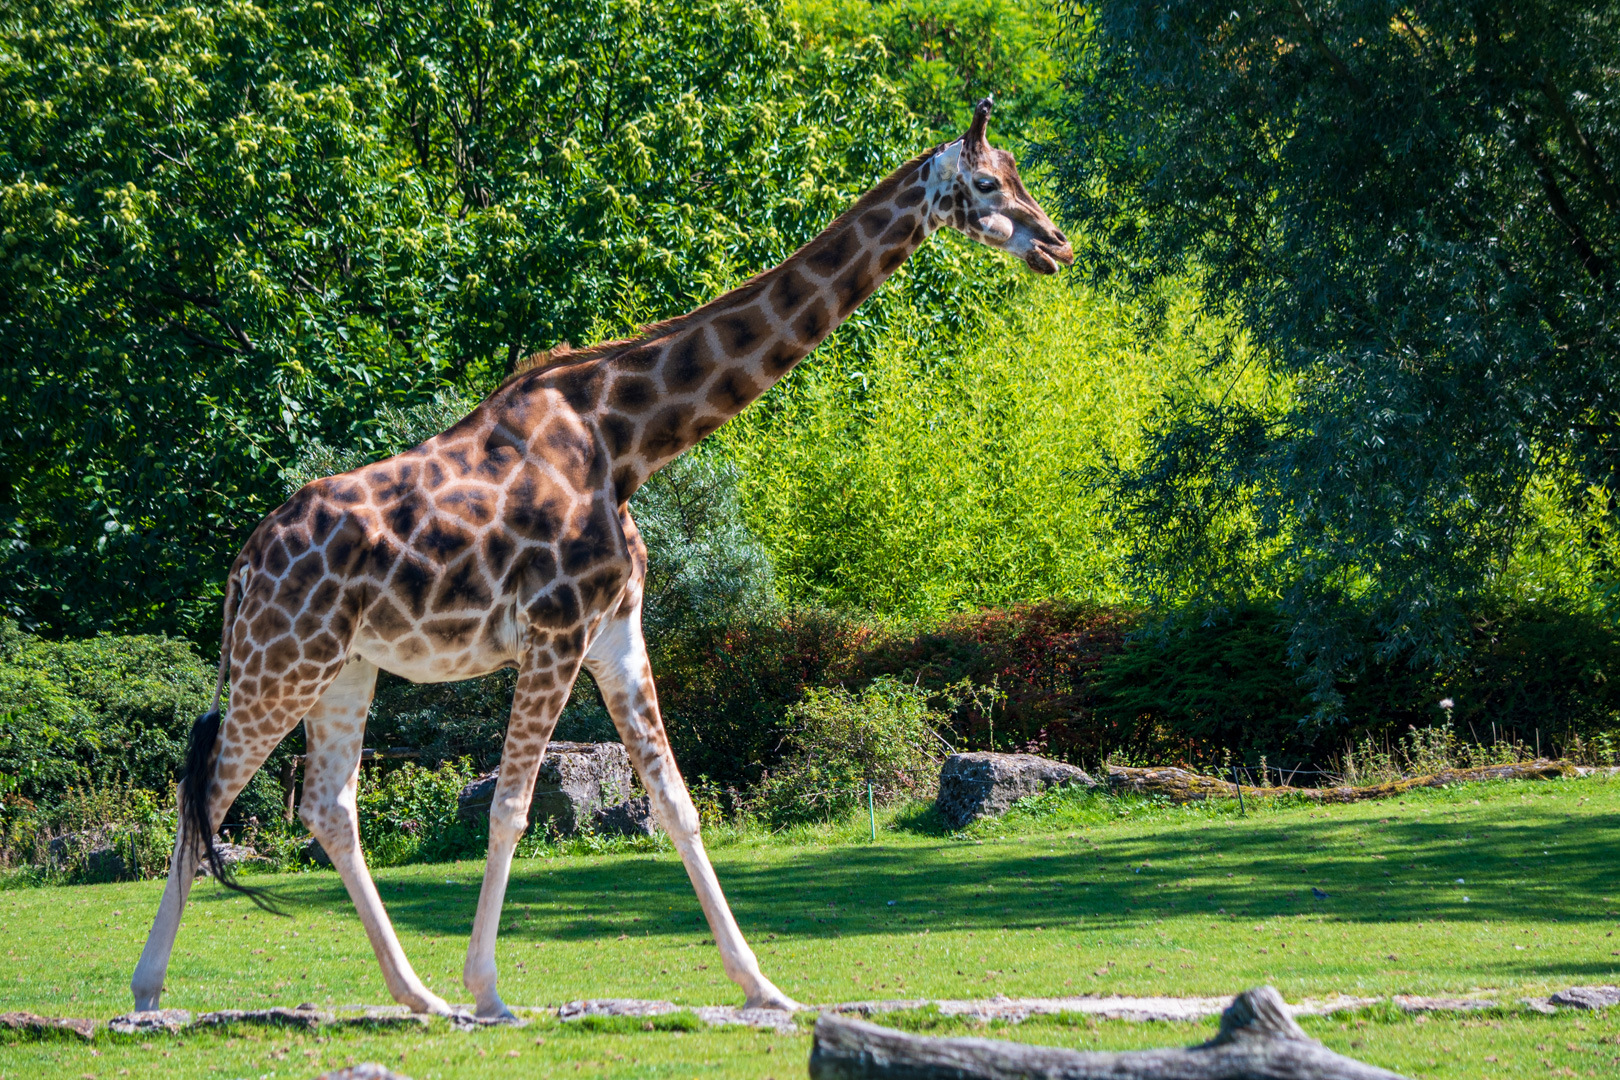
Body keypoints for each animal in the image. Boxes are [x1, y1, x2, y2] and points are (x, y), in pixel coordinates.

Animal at [132, 97, 1069, 1016]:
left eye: (1018, 172)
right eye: (989, 182)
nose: (1057, 243)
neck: (628, 440)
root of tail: (243, 565)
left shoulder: (617, 631)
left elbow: (675, 803)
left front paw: (762, 986)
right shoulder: (556, 629)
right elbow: (511, 808)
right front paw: (491, 992)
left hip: (344, 667)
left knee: (327, 806)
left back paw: (417, 995)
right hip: (282, 661)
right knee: (206, 794)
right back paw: (147, 994)